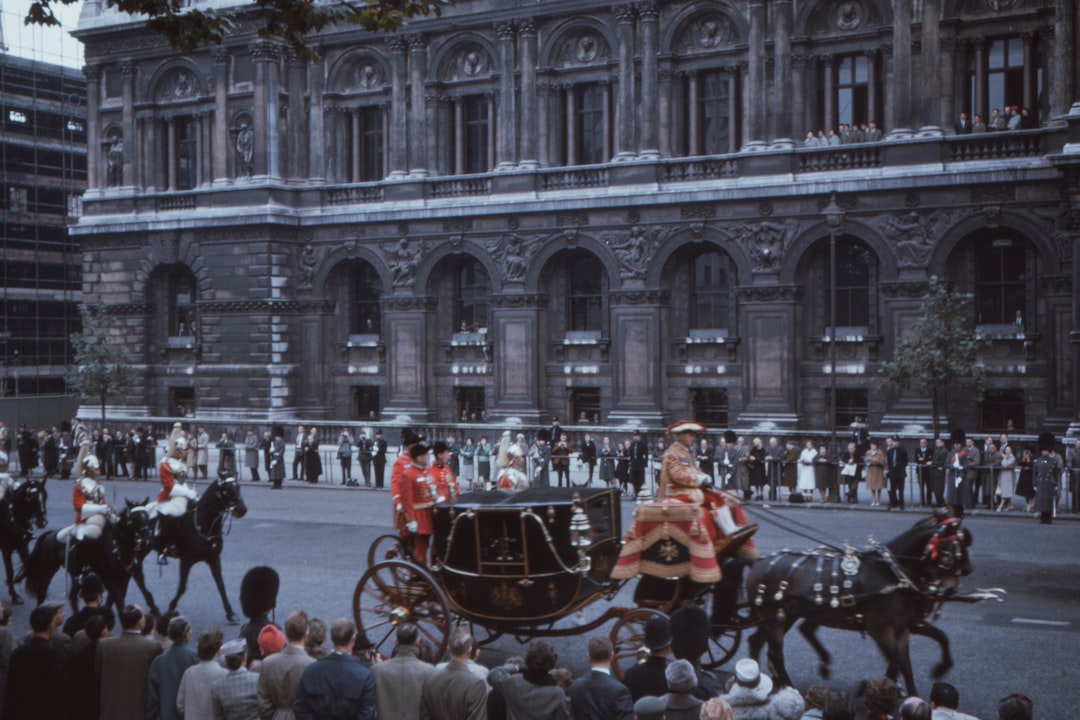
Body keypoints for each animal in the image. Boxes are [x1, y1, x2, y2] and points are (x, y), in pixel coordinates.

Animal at [17, 500, 157, 613]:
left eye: (147, 516)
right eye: (134, 517)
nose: (147, 539)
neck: (117, 545)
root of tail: (51, 534)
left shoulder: (124, 579)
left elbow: (116, 600)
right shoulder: (110, 580)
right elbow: (119, 603)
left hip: (75, 574)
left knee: (72, 596)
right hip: (48, 570)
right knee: (42, 592)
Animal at [154, 474, 247, 621]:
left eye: (238, 487)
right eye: (226, 490)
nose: (242, 509)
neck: (203, 525)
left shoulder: (214, 559)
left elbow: (221, 585)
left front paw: (230, 613)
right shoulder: (185, 561)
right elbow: (182, 587)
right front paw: (171, 606)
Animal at [743, 518, 993, 699]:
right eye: (952, 549)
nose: (967, 571)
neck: (891, 573)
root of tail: (757, 563)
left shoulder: (902, 629)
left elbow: (909, 662)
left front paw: (913, 692)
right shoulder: (880, 630)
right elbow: (897, 661)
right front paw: (878, 688)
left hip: (784, 617)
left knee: (759, 641)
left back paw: (762, 679)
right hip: (776, 618)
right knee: (776, 653)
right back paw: (787, 686)